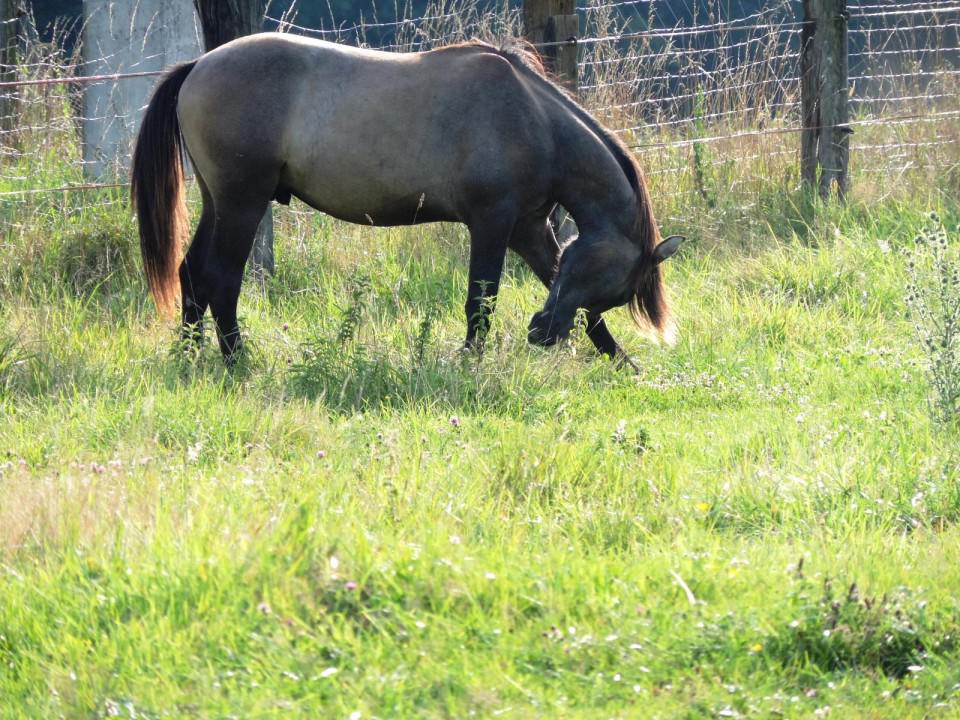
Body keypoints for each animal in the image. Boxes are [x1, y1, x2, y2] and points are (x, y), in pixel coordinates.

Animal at [129, 32, 684, 366]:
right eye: (621, 288)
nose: (541, 332)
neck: (535, 122)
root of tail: (198, 64)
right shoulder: (493, 223)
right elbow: (480, 300)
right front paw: (469, 364)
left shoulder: (529, 229)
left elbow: (554, 282)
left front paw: (623, 363)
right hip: (243, 205)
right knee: (221, 280)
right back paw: (237, 362)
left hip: (218, 204)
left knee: (192, 275)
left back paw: (189, 358)